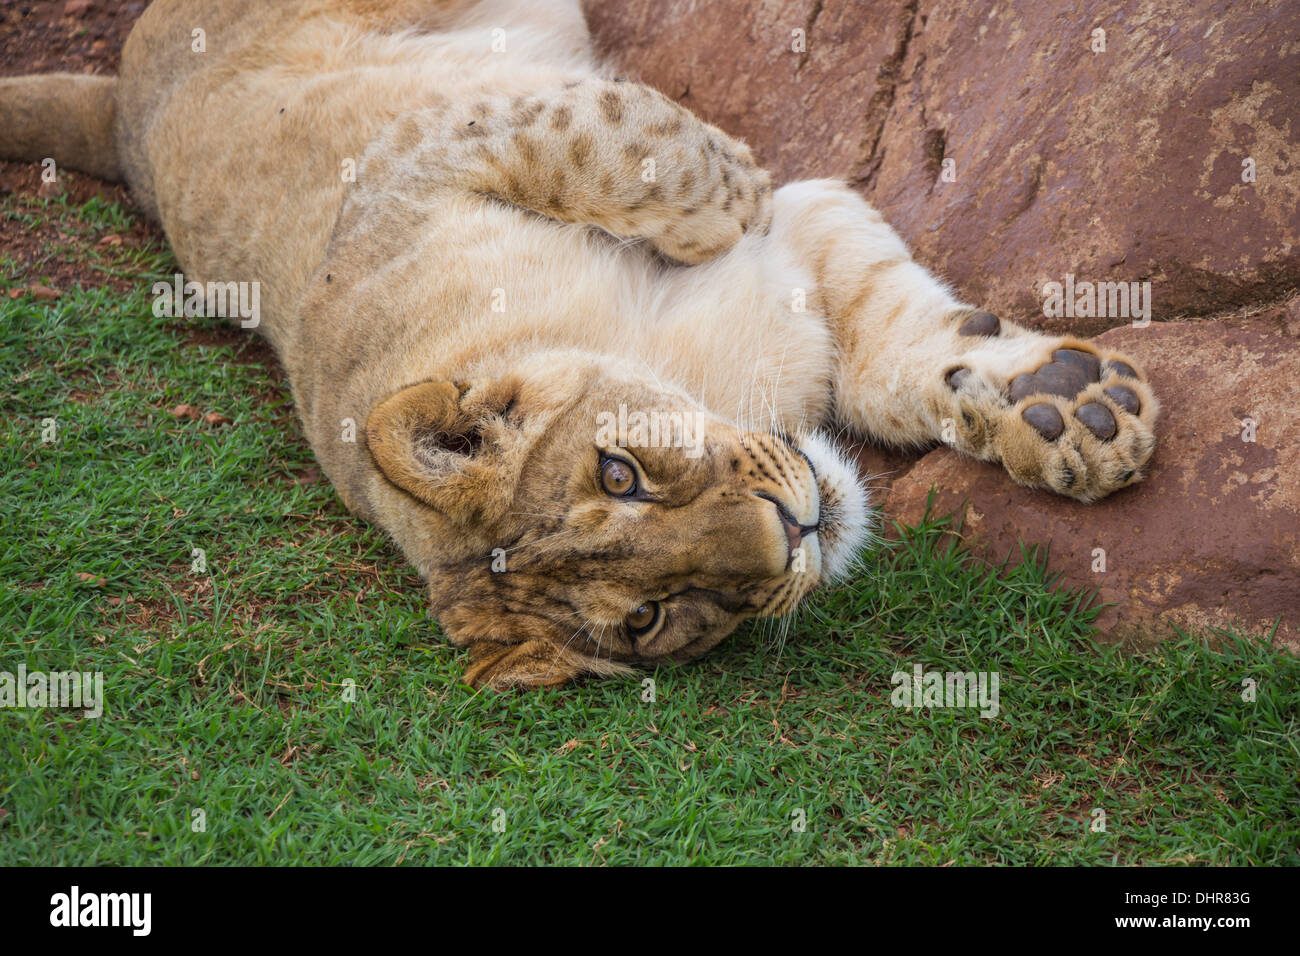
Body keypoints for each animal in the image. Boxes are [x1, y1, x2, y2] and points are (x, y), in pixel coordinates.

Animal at [0, 0, 1158, 689]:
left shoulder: (422, 159)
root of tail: (119, 99)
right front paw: (1064, 401)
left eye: (621, 471)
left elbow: (626, 148)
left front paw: (1077, 409)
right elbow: (883, 348)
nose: (794, 530)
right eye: (649, 615)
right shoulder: (800, 251)